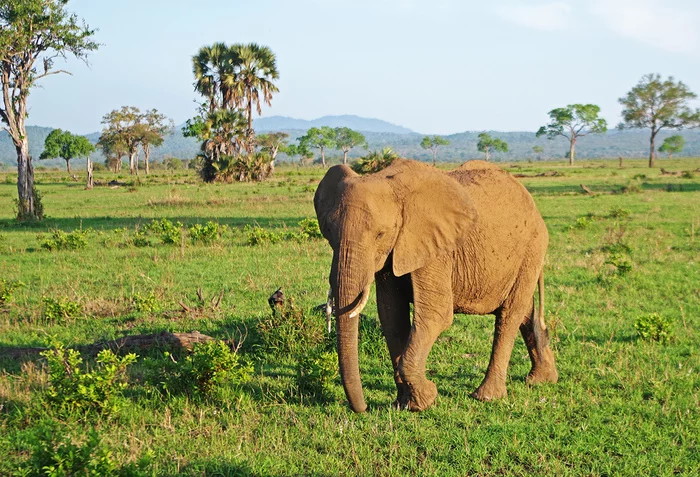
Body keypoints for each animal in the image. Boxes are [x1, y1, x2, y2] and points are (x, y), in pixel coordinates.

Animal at [316, 158, 556, 410]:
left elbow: (436, 315)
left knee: (510, 314)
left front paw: (425, 400)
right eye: (329, 231)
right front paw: (403, 403)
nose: (363, 409)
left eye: (380, 234)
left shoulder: (435, 248)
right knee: (525, 311)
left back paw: (486, 396)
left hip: (532, 248)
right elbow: (391, 316)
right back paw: (542, 379)